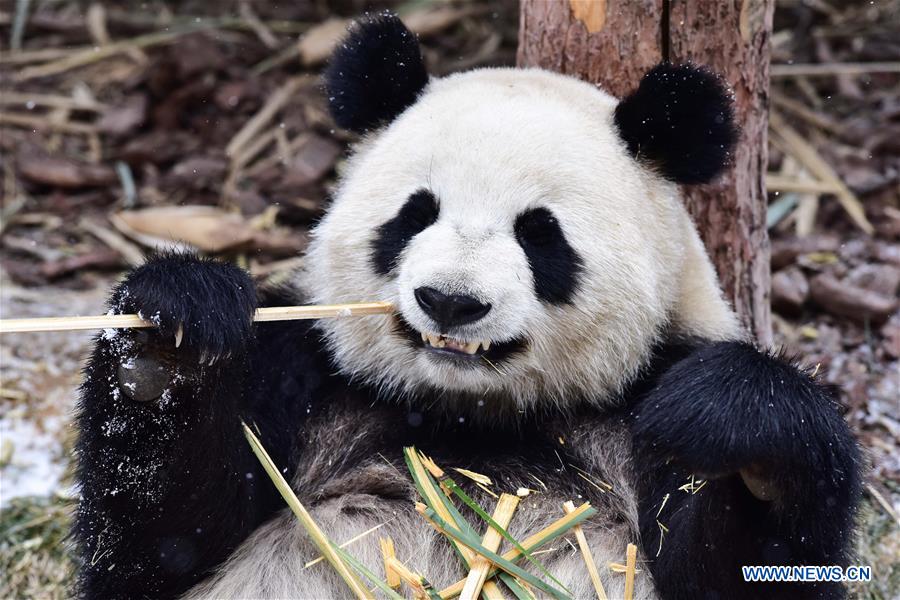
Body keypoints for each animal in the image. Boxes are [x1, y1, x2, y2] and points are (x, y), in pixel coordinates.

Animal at [74, 10, 860, 600]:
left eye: (540, 234)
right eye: (415, 215)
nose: (450, 302)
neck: (469, 413)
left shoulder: (634, 403)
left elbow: (743, 561)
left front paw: (735, 427)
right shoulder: (308, 379)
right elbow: (159, 546)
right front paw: (167, 344)